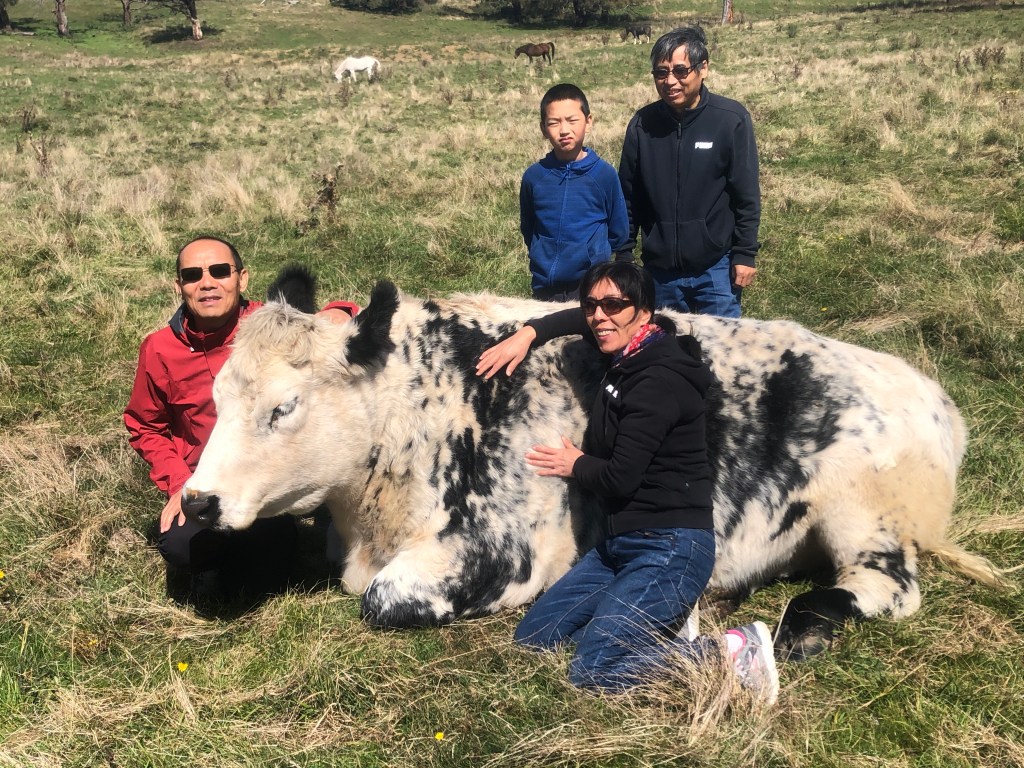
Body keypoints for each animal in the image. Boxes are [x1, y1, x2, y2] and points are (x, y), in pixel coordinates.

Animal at [181, 268, 1003, 661]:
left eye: (284, 407)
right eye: (216, 394)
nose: (197, 502)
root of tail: (931, 395)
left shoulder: (498, 554)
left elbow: (383, 598)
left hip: (865, 514)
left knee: (887, 587)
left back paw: (810, 625)